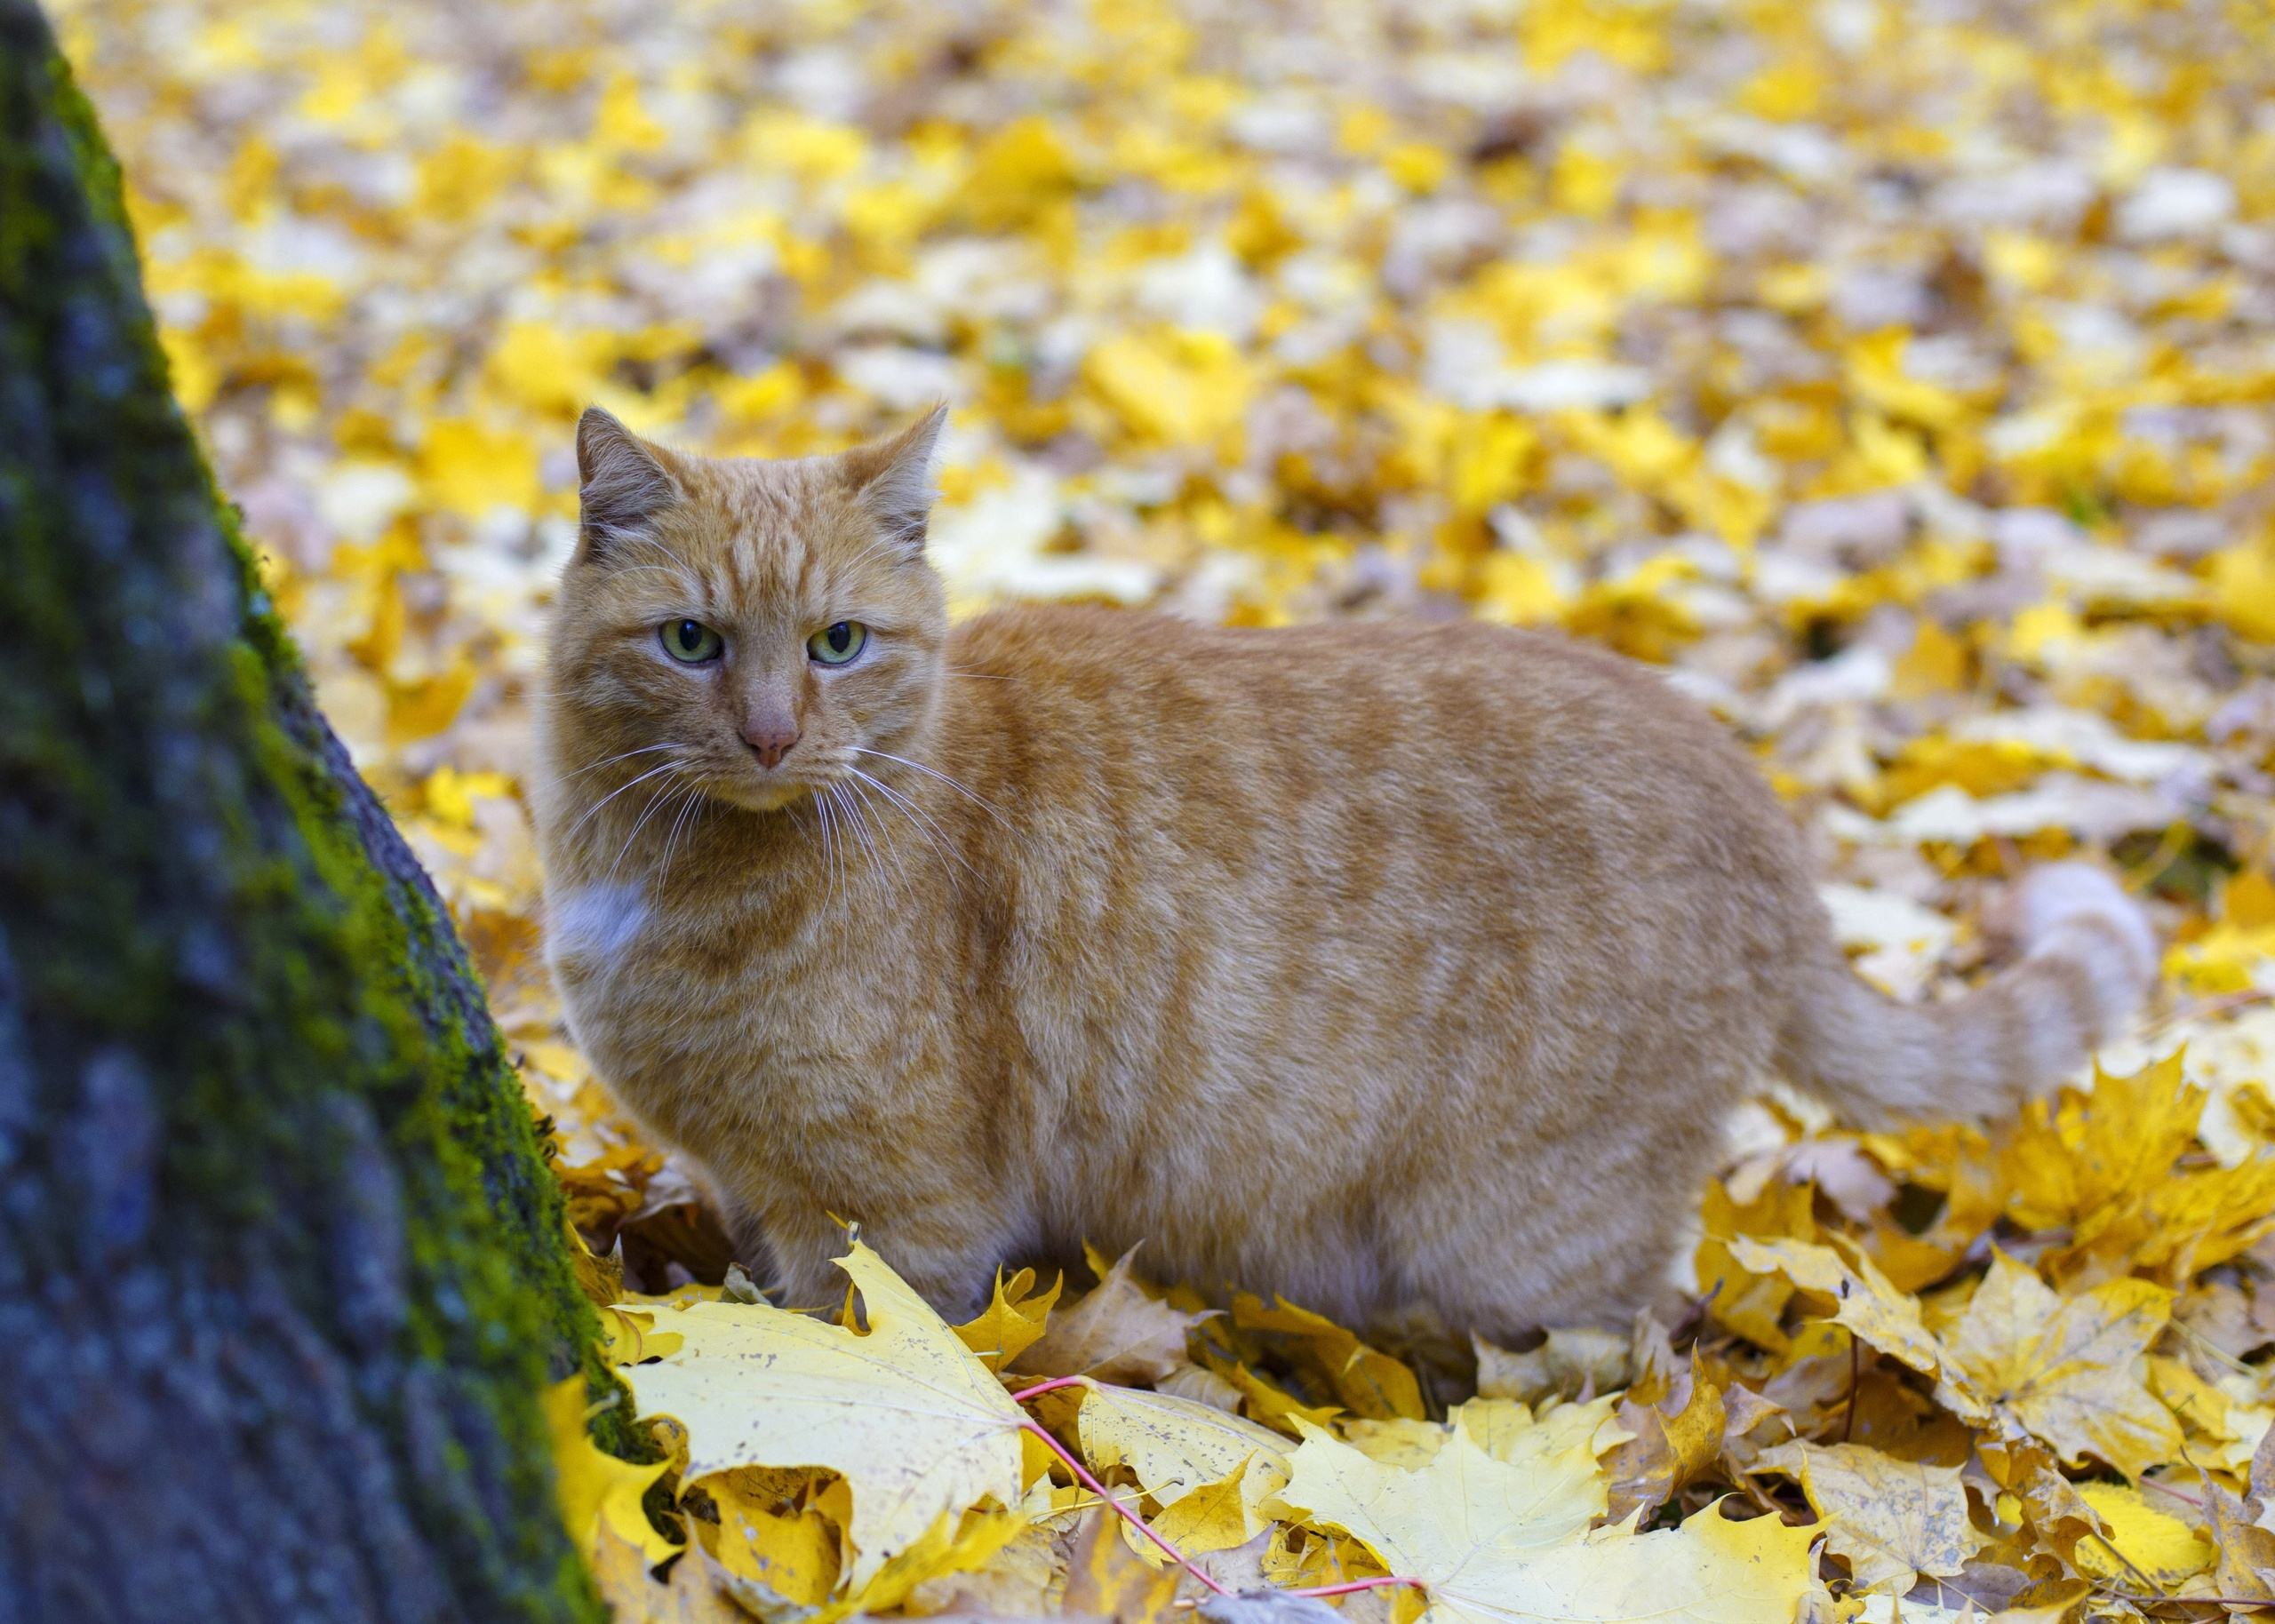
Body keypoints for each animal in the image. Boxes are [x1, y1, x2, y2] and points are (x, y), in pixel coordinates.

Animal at [527, 407, 2147, 1337]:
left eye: (839, 643)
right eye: (692, 641)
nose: (771, 731)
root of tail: (1767, 821)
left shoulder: (894, 1212)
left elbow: (864, 1352)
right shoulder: (751, 1182)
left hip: (1516, 1235)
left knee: (1633, 1350)